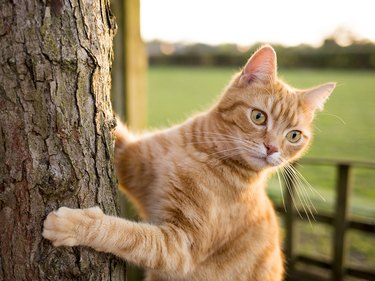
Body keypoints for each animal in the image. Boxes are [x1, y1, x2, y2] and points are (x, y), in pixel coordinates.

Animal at [42, 44, 336, 278]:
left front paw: (77, 224)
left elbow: (127, 235)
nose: (272, 148)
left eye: (294, 136)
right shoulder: (133, 160)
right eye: (258, 117)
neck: (199, 152)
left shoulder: (179, 248)